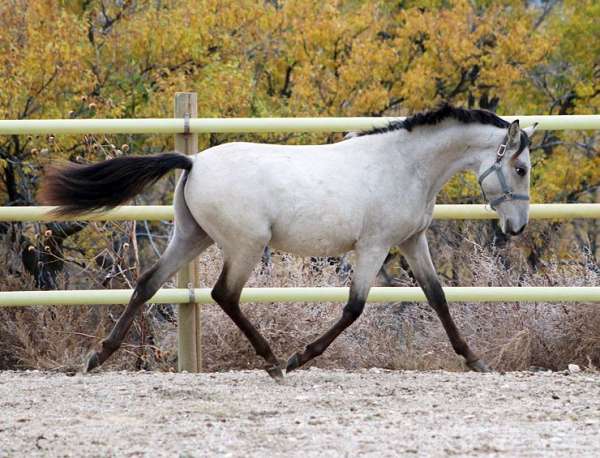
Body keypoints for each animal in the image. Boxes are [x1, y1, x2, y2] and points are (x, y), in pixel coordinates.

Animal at [38, 104, 536, 380]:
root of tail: (193, 161)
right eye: (522, 167)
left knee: (147, 283)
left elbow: (438, 297)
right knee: (224, 294)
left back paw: (97, 357)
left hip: (193, 236)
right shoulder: (373, 247)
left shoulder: (413, 242)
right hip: (244, 246)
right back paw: (275, 363)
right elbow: (353, 309)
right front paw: (301, 357)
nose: (517, 228)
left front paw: (475, 360)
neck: (403, 165)